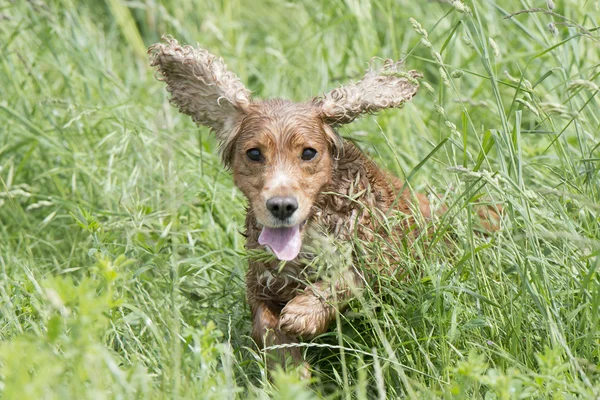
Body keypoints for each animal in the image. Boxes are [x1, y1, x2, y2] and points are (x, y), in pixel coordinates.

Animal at [148, 36, 490, 376]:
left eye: (309, 153)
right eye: (254, 153)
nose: (281, 206)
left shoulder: (384, 261)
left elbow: (346, 278)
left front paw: (303, 312)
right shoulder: (259, 285)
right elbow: (265, 325)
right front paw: (289, 368)